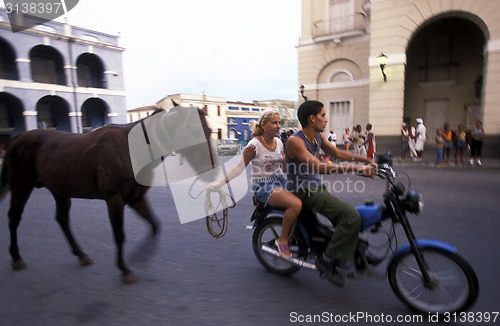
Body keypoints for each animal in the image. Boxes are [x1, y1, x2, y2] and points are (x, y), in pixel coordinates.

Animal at [0, 106, 215, 282]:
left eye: (211, 131)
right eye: (195, 131)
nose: (212, 171)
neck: (131, 148)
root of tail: (15, 139)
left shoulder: (136, 198)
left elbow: (155, 225)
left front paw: (140, 257)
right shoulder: (114, 200)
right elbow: (119, 235)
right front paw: (124, 268)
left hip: (59, 190)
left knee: (62, 219)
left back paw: (80, 254)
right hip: (22, 185)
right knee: (14, 217)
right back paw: (16, 257)